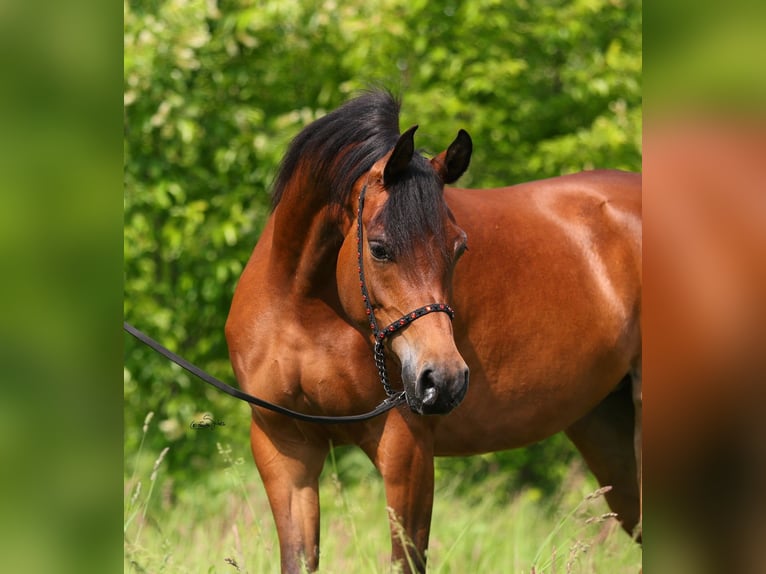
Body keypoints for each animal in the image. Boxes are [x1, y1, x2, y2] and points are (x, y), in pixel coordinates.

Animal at [225, 90, 642, 573]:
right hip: (606, 426)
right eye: (379, 248)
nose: (443, 380)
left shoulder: (407, 448)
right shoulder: (284, 449)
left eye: (459, 247)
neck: (304, 313)